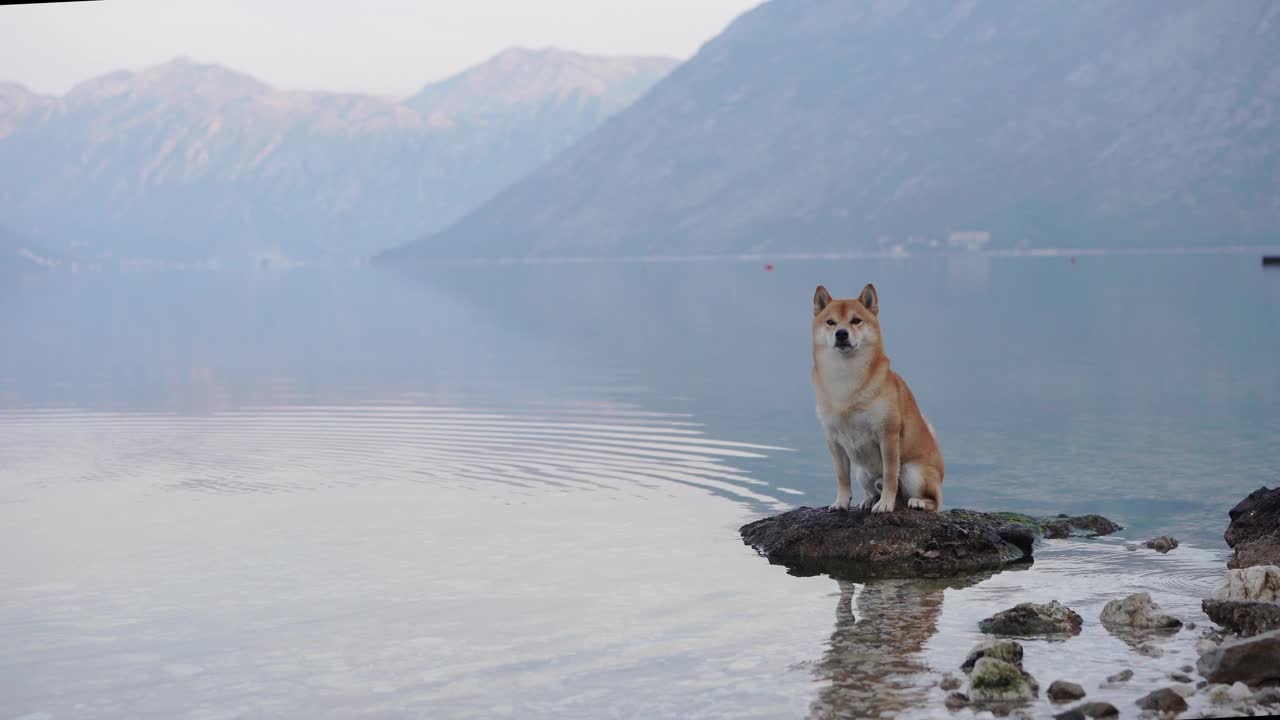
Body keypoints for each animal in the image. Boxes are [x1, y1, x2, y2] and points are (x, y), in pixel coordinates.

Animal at [814, 280, 947, 509]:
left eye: (856, 320)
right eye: (831, 322)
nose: (841, 333)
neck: (846, 379)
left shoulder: (888, 435)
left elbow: (890, 476)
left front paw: (885, 504)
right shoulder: (834, 440)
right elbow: (842, 477)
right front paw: (841, 501)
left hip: (913, 472)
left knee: (934, 502)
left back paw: (917, 502)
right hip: (862, 473)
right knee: (871, 487)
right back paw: (868, 499)